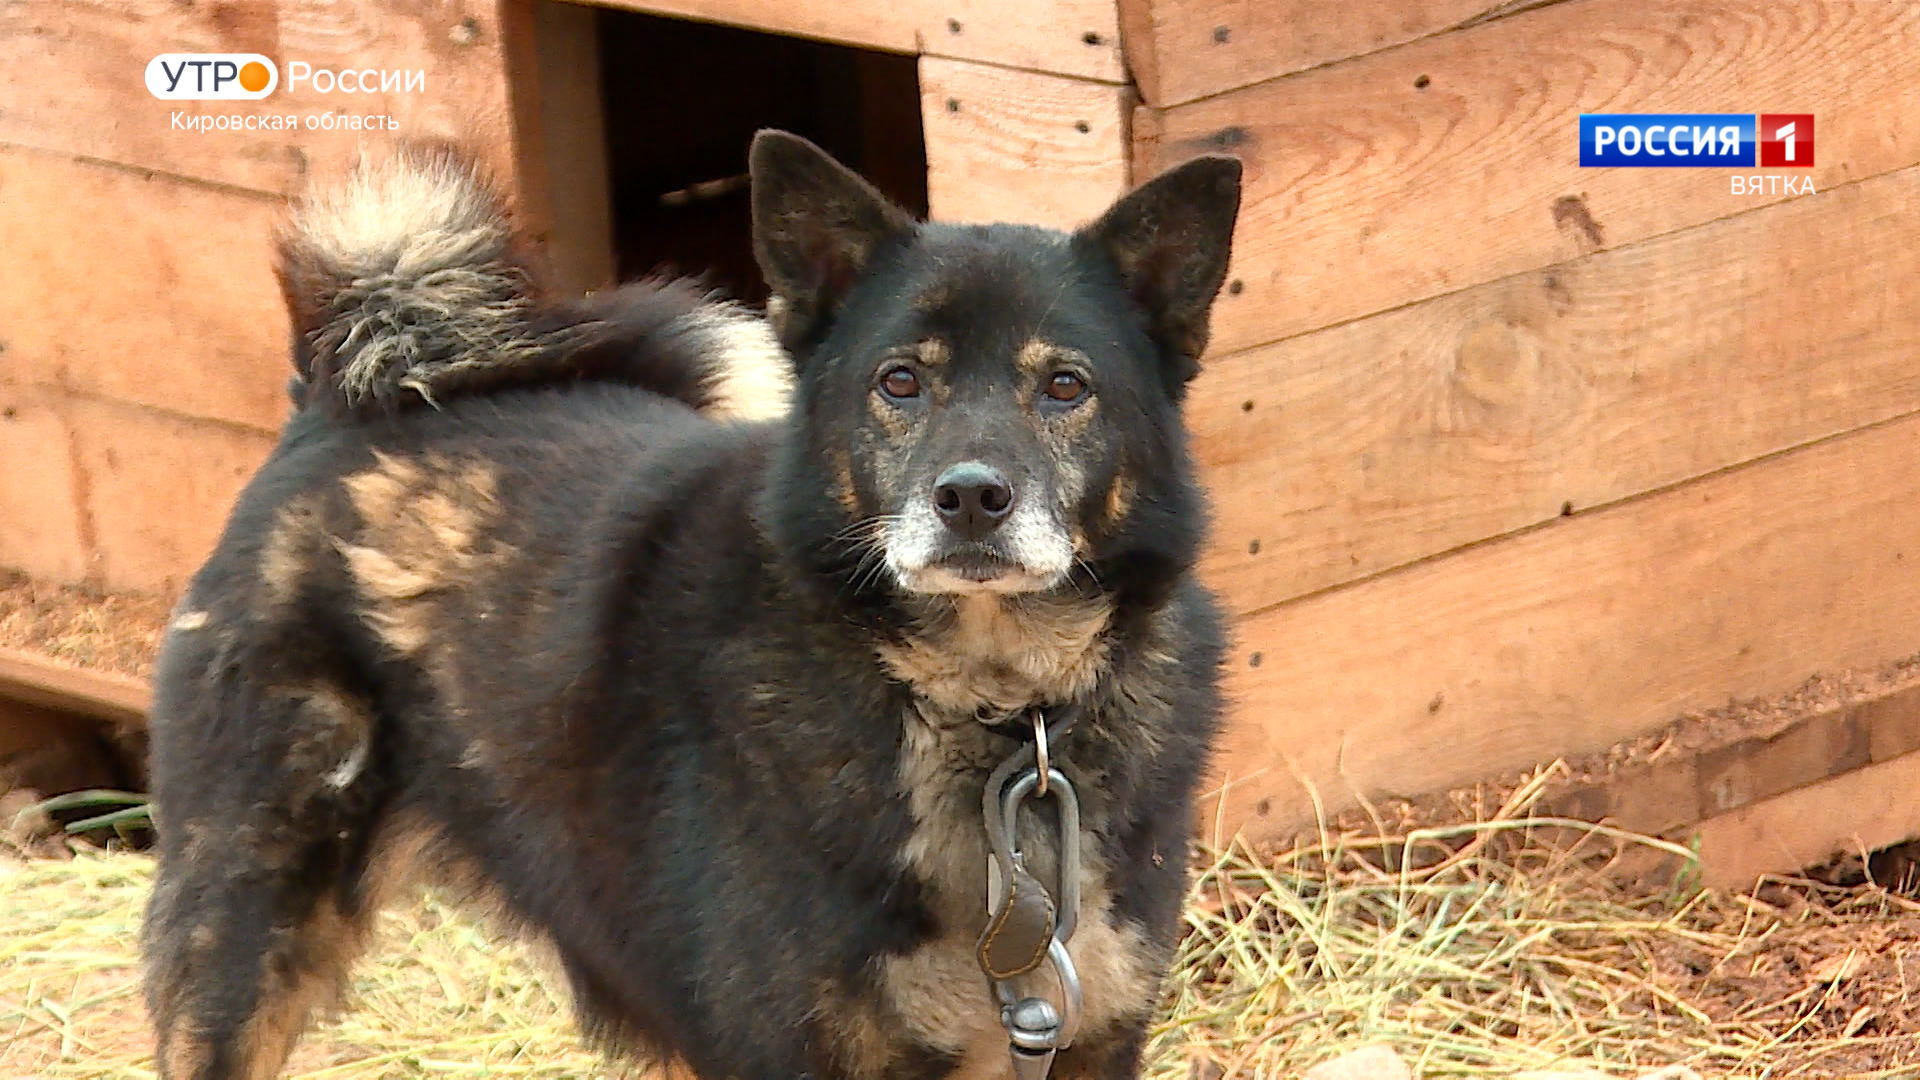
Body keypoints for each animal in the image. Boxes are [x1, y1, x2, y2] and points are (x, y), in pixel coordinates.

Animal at [142, 132, 1236, 1076]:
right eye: (899, 381)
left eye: (1065, 386)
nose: (969, 498)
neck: (991, 715)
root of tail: (343, 398)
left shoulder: (1086, 1038)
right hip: (245, 933)